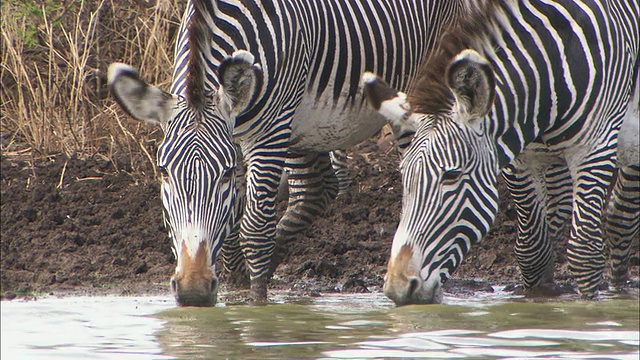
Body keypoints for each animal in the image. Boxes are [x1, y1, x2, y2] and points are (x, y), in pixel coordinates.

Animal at [106, 0, 470, 306]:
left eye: (225, 172)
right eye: (163, 171)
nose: (193, 290)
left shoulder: (270, 132)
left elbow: (254, 228)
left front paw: (257, 307)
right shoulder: (243, 133)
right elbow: (233, 223)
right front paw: (233, 289)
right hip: (304, 126)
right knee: (316, 189)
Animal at [362, 0, 636, 306]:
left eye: (451, 176)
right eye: (403, 176)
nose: (398, 286)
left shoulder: (595, 148)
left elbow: (584, 253)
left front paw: (588, 309)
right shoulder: (519, 160)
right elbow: (532, 250)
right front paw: (539, 299)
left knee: (621, 216)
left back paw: (620, 290)